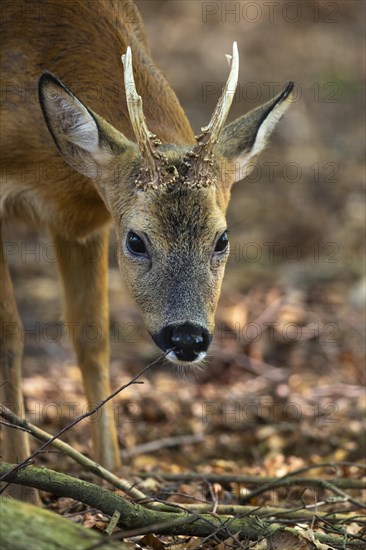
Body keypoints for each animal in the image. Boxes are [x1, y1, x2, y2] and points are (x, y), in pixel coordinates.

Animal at [0, 0, 294, 476]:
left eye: (222, 239)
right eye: (136, 241)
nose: (187, 337)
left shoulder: (82, 224)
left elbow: (92, 338)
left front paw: (112, 476)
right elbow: (9, 333)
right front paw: (24, 484)